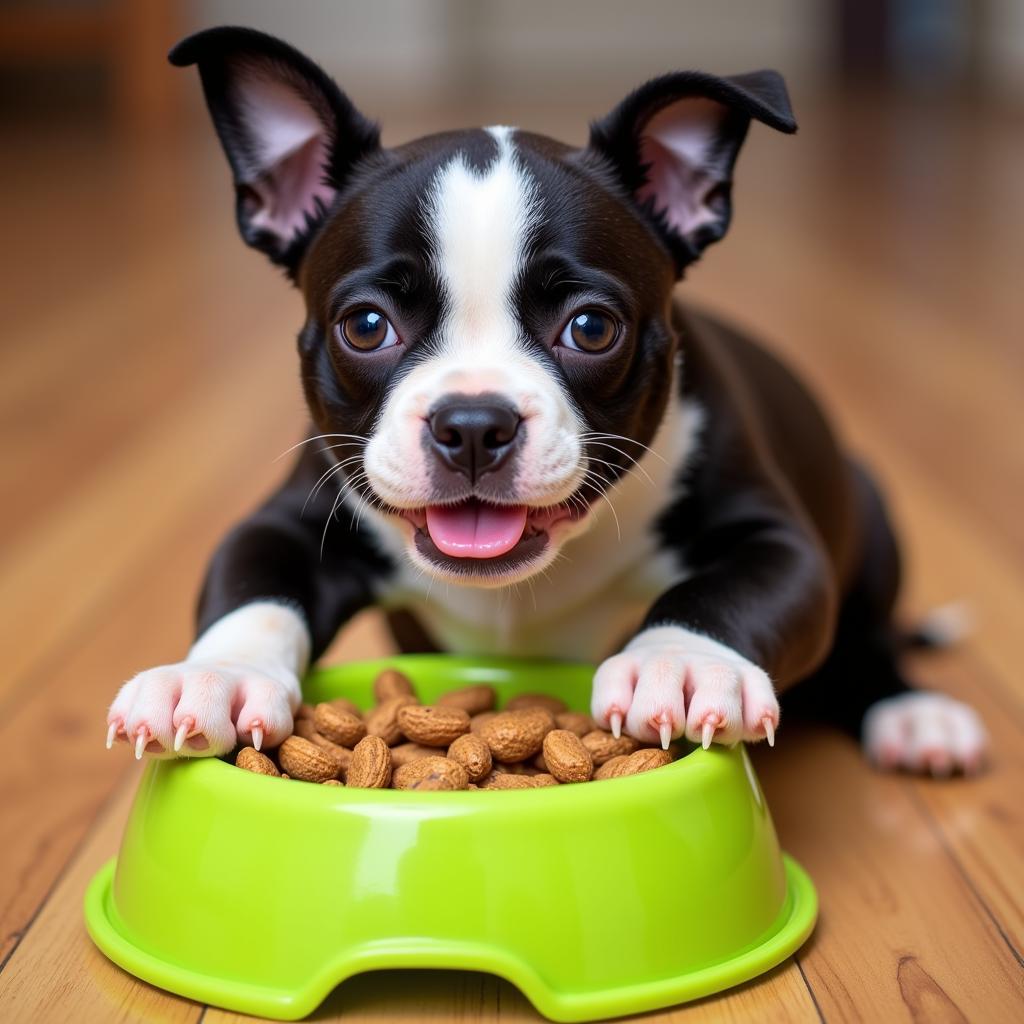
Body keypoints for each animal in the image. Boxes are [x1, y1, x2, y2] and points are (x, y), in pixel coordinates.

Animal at [105, 24, 983, 774]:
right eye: (365, 326)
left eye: (591, 328)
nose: (472, 423)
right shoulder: (295, 516)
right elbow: (254, 585)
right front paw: (213, 674)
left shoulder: (776, 539)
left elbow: (728, 589)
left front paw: (678, 662)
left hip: (868, 512)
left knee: (866, 638)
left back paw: (912, 714)